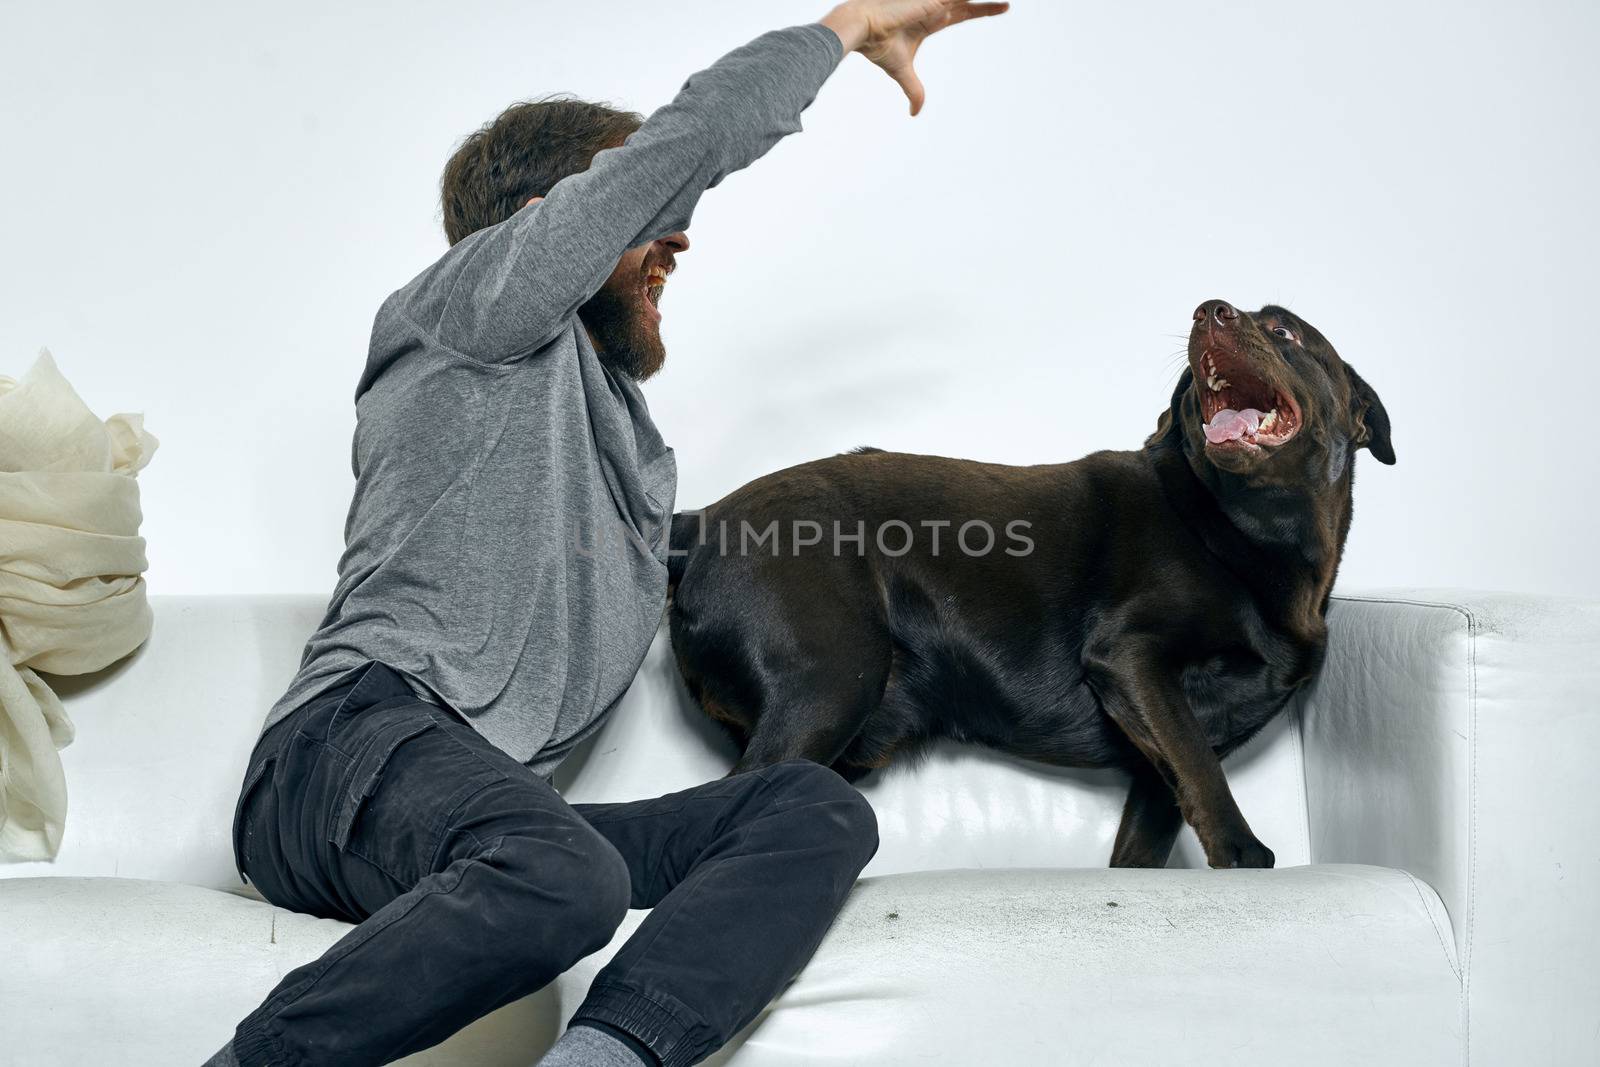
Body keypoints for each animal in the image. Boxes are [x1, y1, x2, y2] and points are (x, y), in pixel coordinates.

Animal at [662, 300, 1388, 870]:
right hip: (832, 678)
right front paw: (1243, 854)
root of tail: (701, 520)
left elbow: (1160, 815)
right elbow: (1205, 775)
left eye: (1284, 329)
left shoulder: (1159, 761)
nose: (1209, 310)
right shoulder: (1133, 657)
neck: (1241, 531)